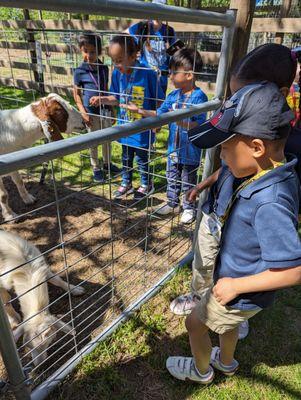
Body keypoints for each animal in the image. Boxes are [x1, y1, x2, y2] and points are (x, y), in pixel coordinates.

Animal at [0, 93, 84, 222]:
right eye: (59, 110)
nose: (84, 121)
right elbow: (3, 195)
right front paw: (10, 215)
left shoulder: (13, 161)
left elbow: (19, 181)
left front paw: (28, 199)